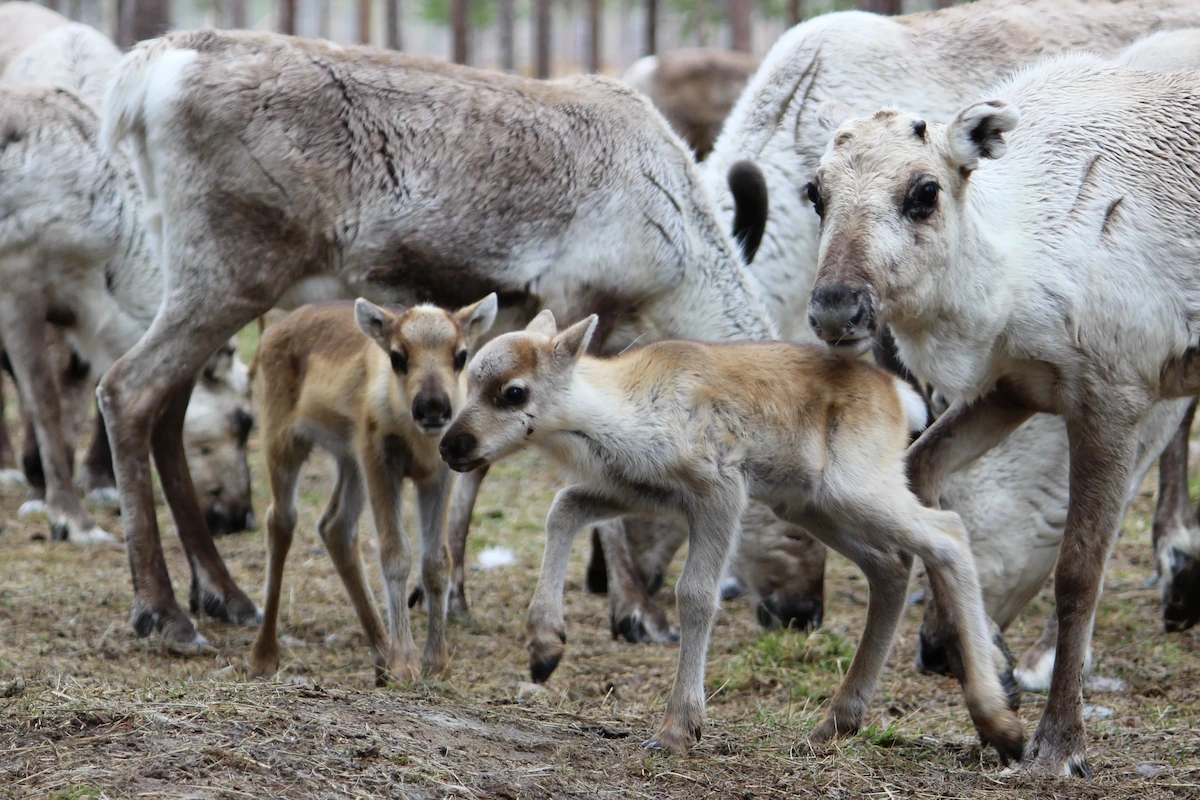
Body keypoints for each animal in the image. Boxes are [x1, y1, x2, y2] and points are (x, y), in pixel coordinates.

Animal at [250, 294, 496, 684]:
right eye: (397, 356)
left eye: (461, 355)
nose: (433, 407)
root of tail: (273, 328)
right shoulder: (380, 460)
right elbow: (396, 553)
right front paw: (406, 662)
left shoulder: (436, 475)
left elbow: (436, 560)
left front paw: (436, 662)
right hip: (284, 442)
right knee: (281, 521)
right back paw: (264, 655)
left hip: (349, 460)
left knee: (335, 527)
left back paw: (381, 652)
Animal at [439, 310, 1024, 760]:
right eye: (470, 378)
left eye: (514, 393)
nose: (450, 445)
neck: (620, 411)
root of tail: (901, 394)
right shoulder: (643, 493)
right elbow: (562, 508)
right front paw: (544, 647)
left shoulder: (720, 492)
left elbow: (695, 594)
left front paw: (678, 729)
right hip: (815, 507)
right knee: (892, 567)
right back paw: (836, 722)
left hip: (856, 490)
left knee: (947, 535)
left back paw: (1001, 724)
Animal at [804, 52, 1200, 776]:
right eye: (815, 192)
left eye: (924, 192)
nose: (836, 308)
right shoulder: (1014, 388)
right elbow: (923, 471)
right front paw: (986, 666)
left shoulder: (1113, 397)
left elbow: (1078, 574)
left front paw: (1060, 741)